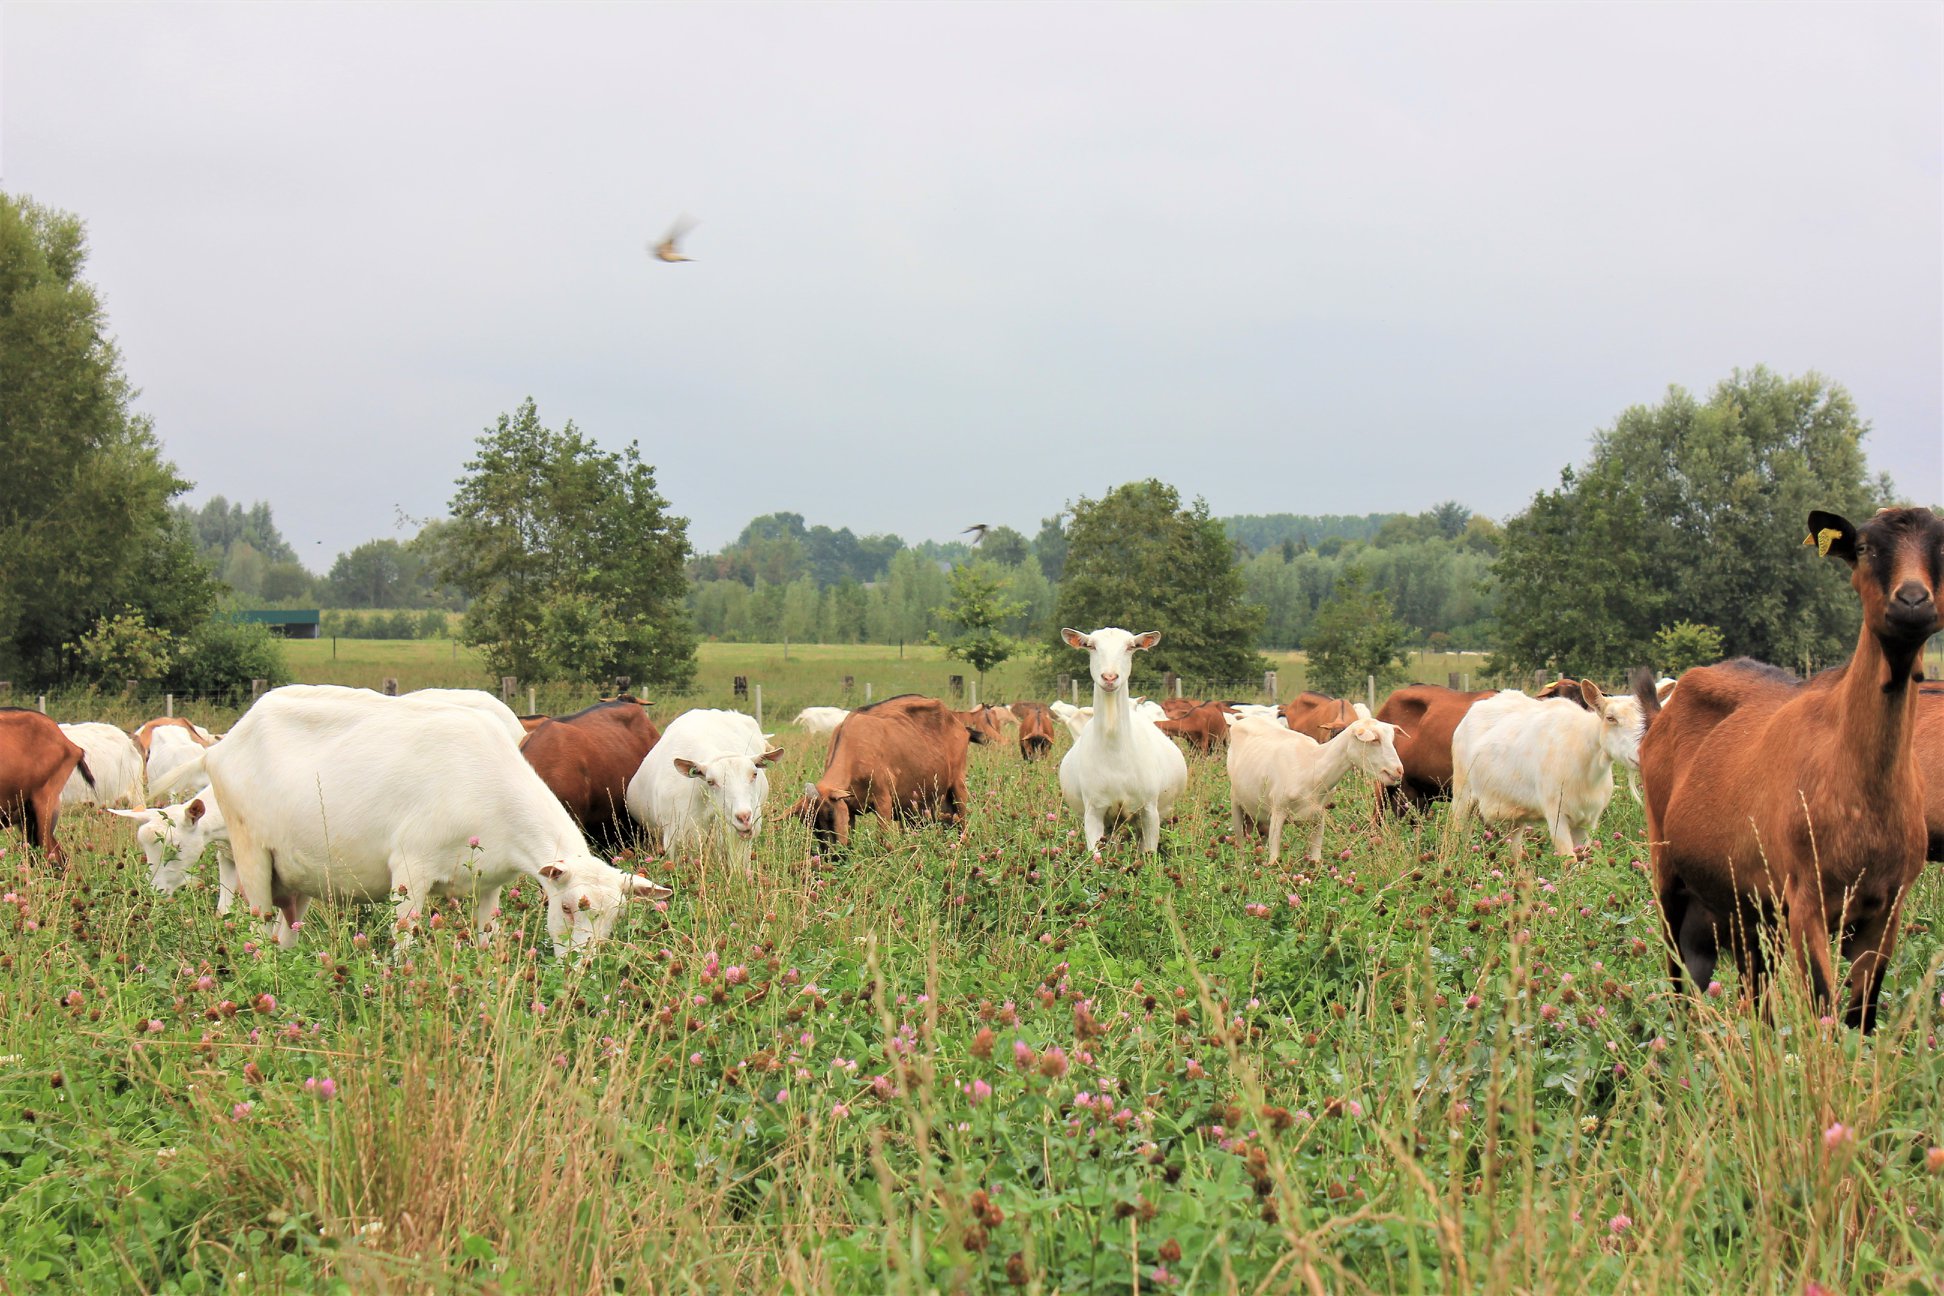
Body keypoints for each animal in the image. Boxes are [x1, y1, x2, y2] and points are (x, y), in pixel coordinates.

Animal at [1057, 625, 1189, 851]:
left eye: (1131, 647)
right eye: (1090, 646)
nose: (1109, 677)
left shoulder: (1148, 809)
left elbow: (1149, 851)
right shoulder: (1094, 809)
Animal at [1228, 703, 1399, 866]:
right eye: (1375, 739)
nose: (1399, 770)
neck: (1311, 764)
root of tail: (1244, 720)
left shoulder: (1318, 815)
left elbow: (1316, 860)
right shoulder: (1278, 811)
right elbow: (1274, 859)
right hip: (1236, 803)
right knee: (1240, 846)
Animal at [1454, 680, 1648, 862]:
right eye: (1610, 718)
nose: (1640, 754)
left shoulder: (1588, 820)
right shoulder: (1557, 816)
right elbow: (1569, 862)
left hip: (1515, 812)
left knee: (1514, 848)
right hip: (1462, 794)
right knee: (1458, 832)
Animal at [1640, 509, 1944, 1033]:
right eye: (1863, 547)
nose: (1911, 602)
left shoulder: (1888, 907)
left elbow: (1860, 1014)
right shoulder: (1806, 901)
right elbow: (1823, 1006)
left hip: (1744, 907)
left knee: (1749, 988)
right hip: (1668, 871)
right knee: (1681, 981)